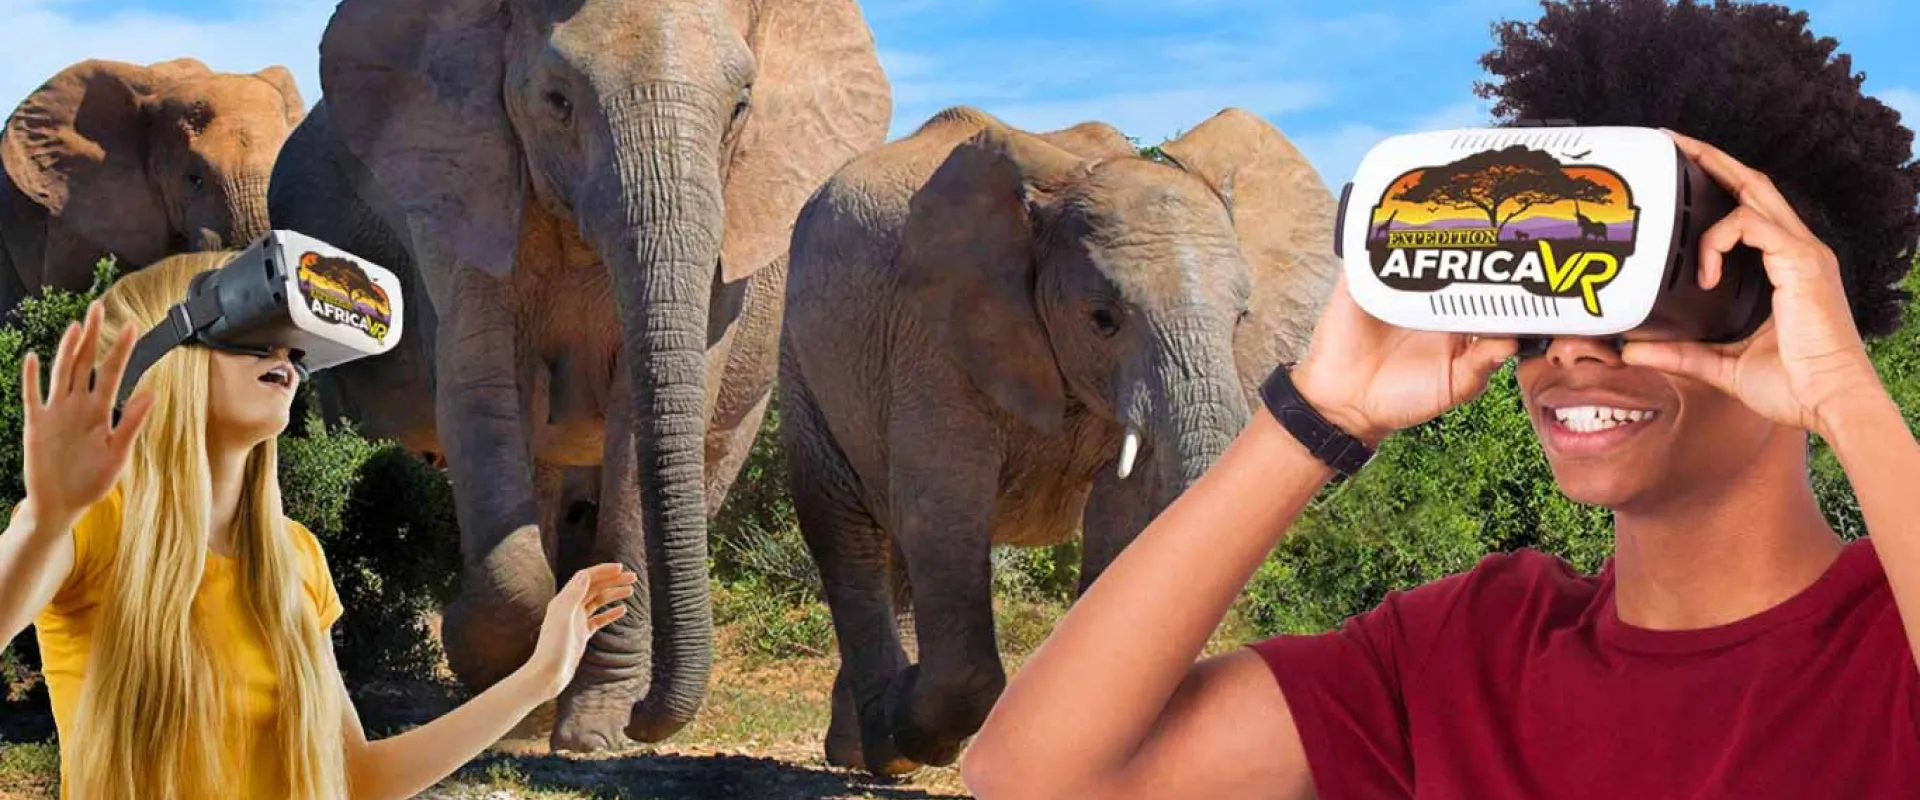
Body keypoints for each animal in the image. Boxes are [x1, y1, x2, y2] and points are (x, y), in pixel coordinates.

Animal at [264, 0, 890, 751]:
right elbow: (486, 396)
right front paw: (500, 688)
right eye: (557, 101)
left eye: (741, 105)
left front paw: (598, 733)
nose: (650, 718)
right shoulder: (462, 194)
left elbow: (636, 439)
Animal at [777, 106, 1339, 775]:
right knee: (847, 530)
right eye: (1103, 319)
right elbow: (943, 507)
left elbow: (1124, 517)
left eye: (1241, 318)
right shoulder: (931, 338)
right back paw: (887, 749)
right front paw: (911, 725)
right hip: (804, 364)